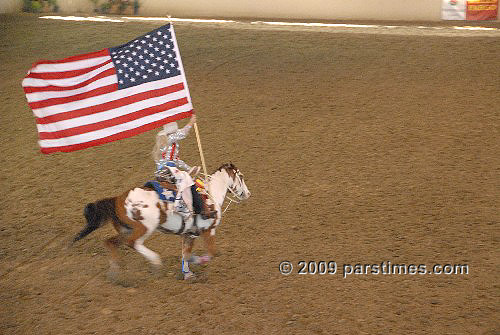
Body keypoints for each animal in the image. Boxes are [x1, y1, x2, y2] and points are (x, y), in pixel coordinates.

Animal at [72, 163, 252, 280]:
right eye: (241, 177)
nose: (247, 194)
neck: (210, 195)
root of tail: (117, 199)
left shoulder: (189, 234)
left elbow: (186, 254)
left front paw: (188, 274)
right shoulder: (208, 231)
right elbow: (211, 253)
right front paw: (198, 261)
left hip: (125, 229)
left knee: (110, 242)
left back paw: (115, 273)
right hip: (144, 228)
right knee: (133, 243)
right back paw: (155, 261)